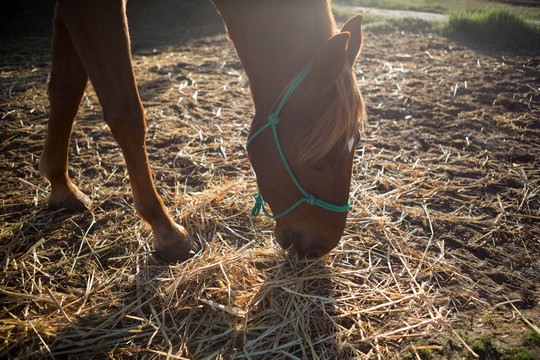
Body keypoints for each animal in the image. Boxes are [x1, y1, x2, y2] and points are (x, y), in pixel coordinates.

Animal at [40, 0, 364, 260]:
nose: (322, 246)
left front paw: (61, 185)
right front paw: (167, 231)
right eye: (317, 162)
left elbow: (66, 90)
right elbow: (126, 114)